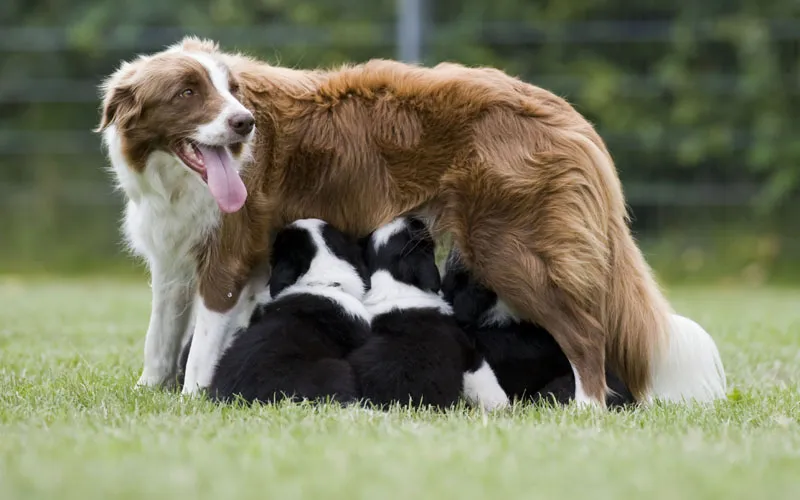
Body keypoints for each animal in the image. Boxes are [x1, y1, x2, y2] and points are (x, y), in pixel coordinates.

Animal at [348, 217, 510, 412]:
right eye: (416, 231)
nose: (414, 218)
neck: (394, 280)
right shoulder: (465, 348)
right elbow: (483, 376)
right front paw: (501, 405)